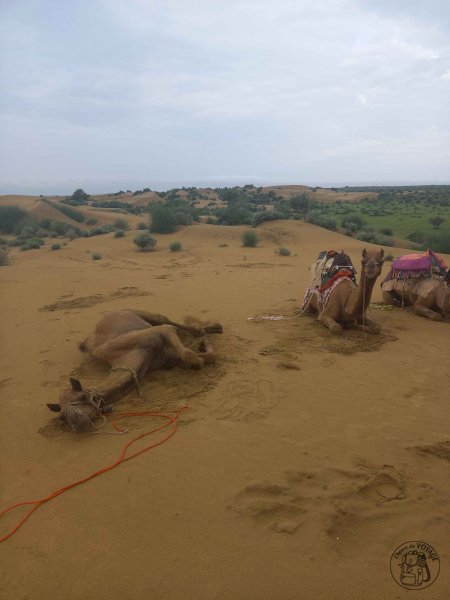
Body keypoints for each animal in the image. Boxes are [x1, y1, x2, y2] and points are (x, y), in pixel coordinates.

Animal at [47, 310, 223, 432]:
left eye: (82, 396)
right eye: (62, 417)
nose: (76, 422)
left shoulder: (160, 333)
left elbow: (189, 353)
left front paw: (202, 344)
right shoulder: (168, 359)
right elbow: (196, 357)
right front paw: (202, 347)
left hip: (142, 314)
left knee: (167, 320)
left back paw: (212, 328)